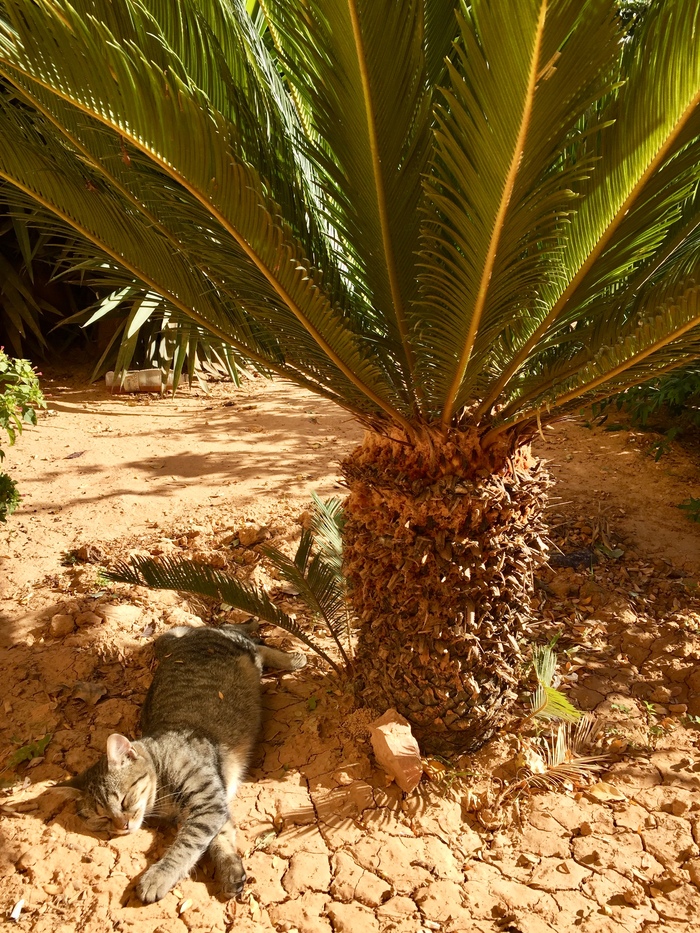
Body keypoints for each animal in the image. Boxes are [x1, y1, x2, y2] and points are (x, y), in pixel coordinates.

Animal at [56, 628, 304, 904]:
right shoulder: (212, 808)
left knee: (252, 642)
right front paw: (230, 871)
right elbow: (220, 839)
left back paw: (293, 658)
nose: (123, 826)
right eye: (102, 817)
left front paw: (158, 876)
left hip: (238, 646)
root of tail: (186, 638)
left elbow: (185, 846)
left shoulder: (207, 802)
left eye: (123, 800)